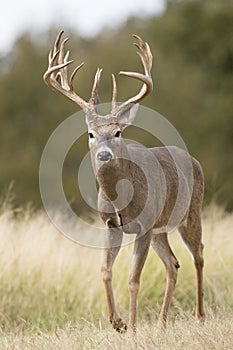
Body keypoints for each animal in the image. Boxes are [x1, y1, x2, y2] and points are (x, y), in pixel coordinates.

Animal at [43, 31, 204, 332]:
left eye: (117, 132)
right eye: (91, 134)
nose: (104, 153)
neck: (121, 196)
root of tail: (194, 160)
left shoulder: (143, 226)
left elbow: (133, 280)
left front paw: (131, 326)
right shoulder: (111, 225)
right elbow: (105, 271)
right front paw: (117, 323)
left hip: (191, 214)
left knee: (198, 255)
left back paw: (200, 315)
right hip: (160, 229)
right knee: (173, 264)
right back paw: (162, 323)